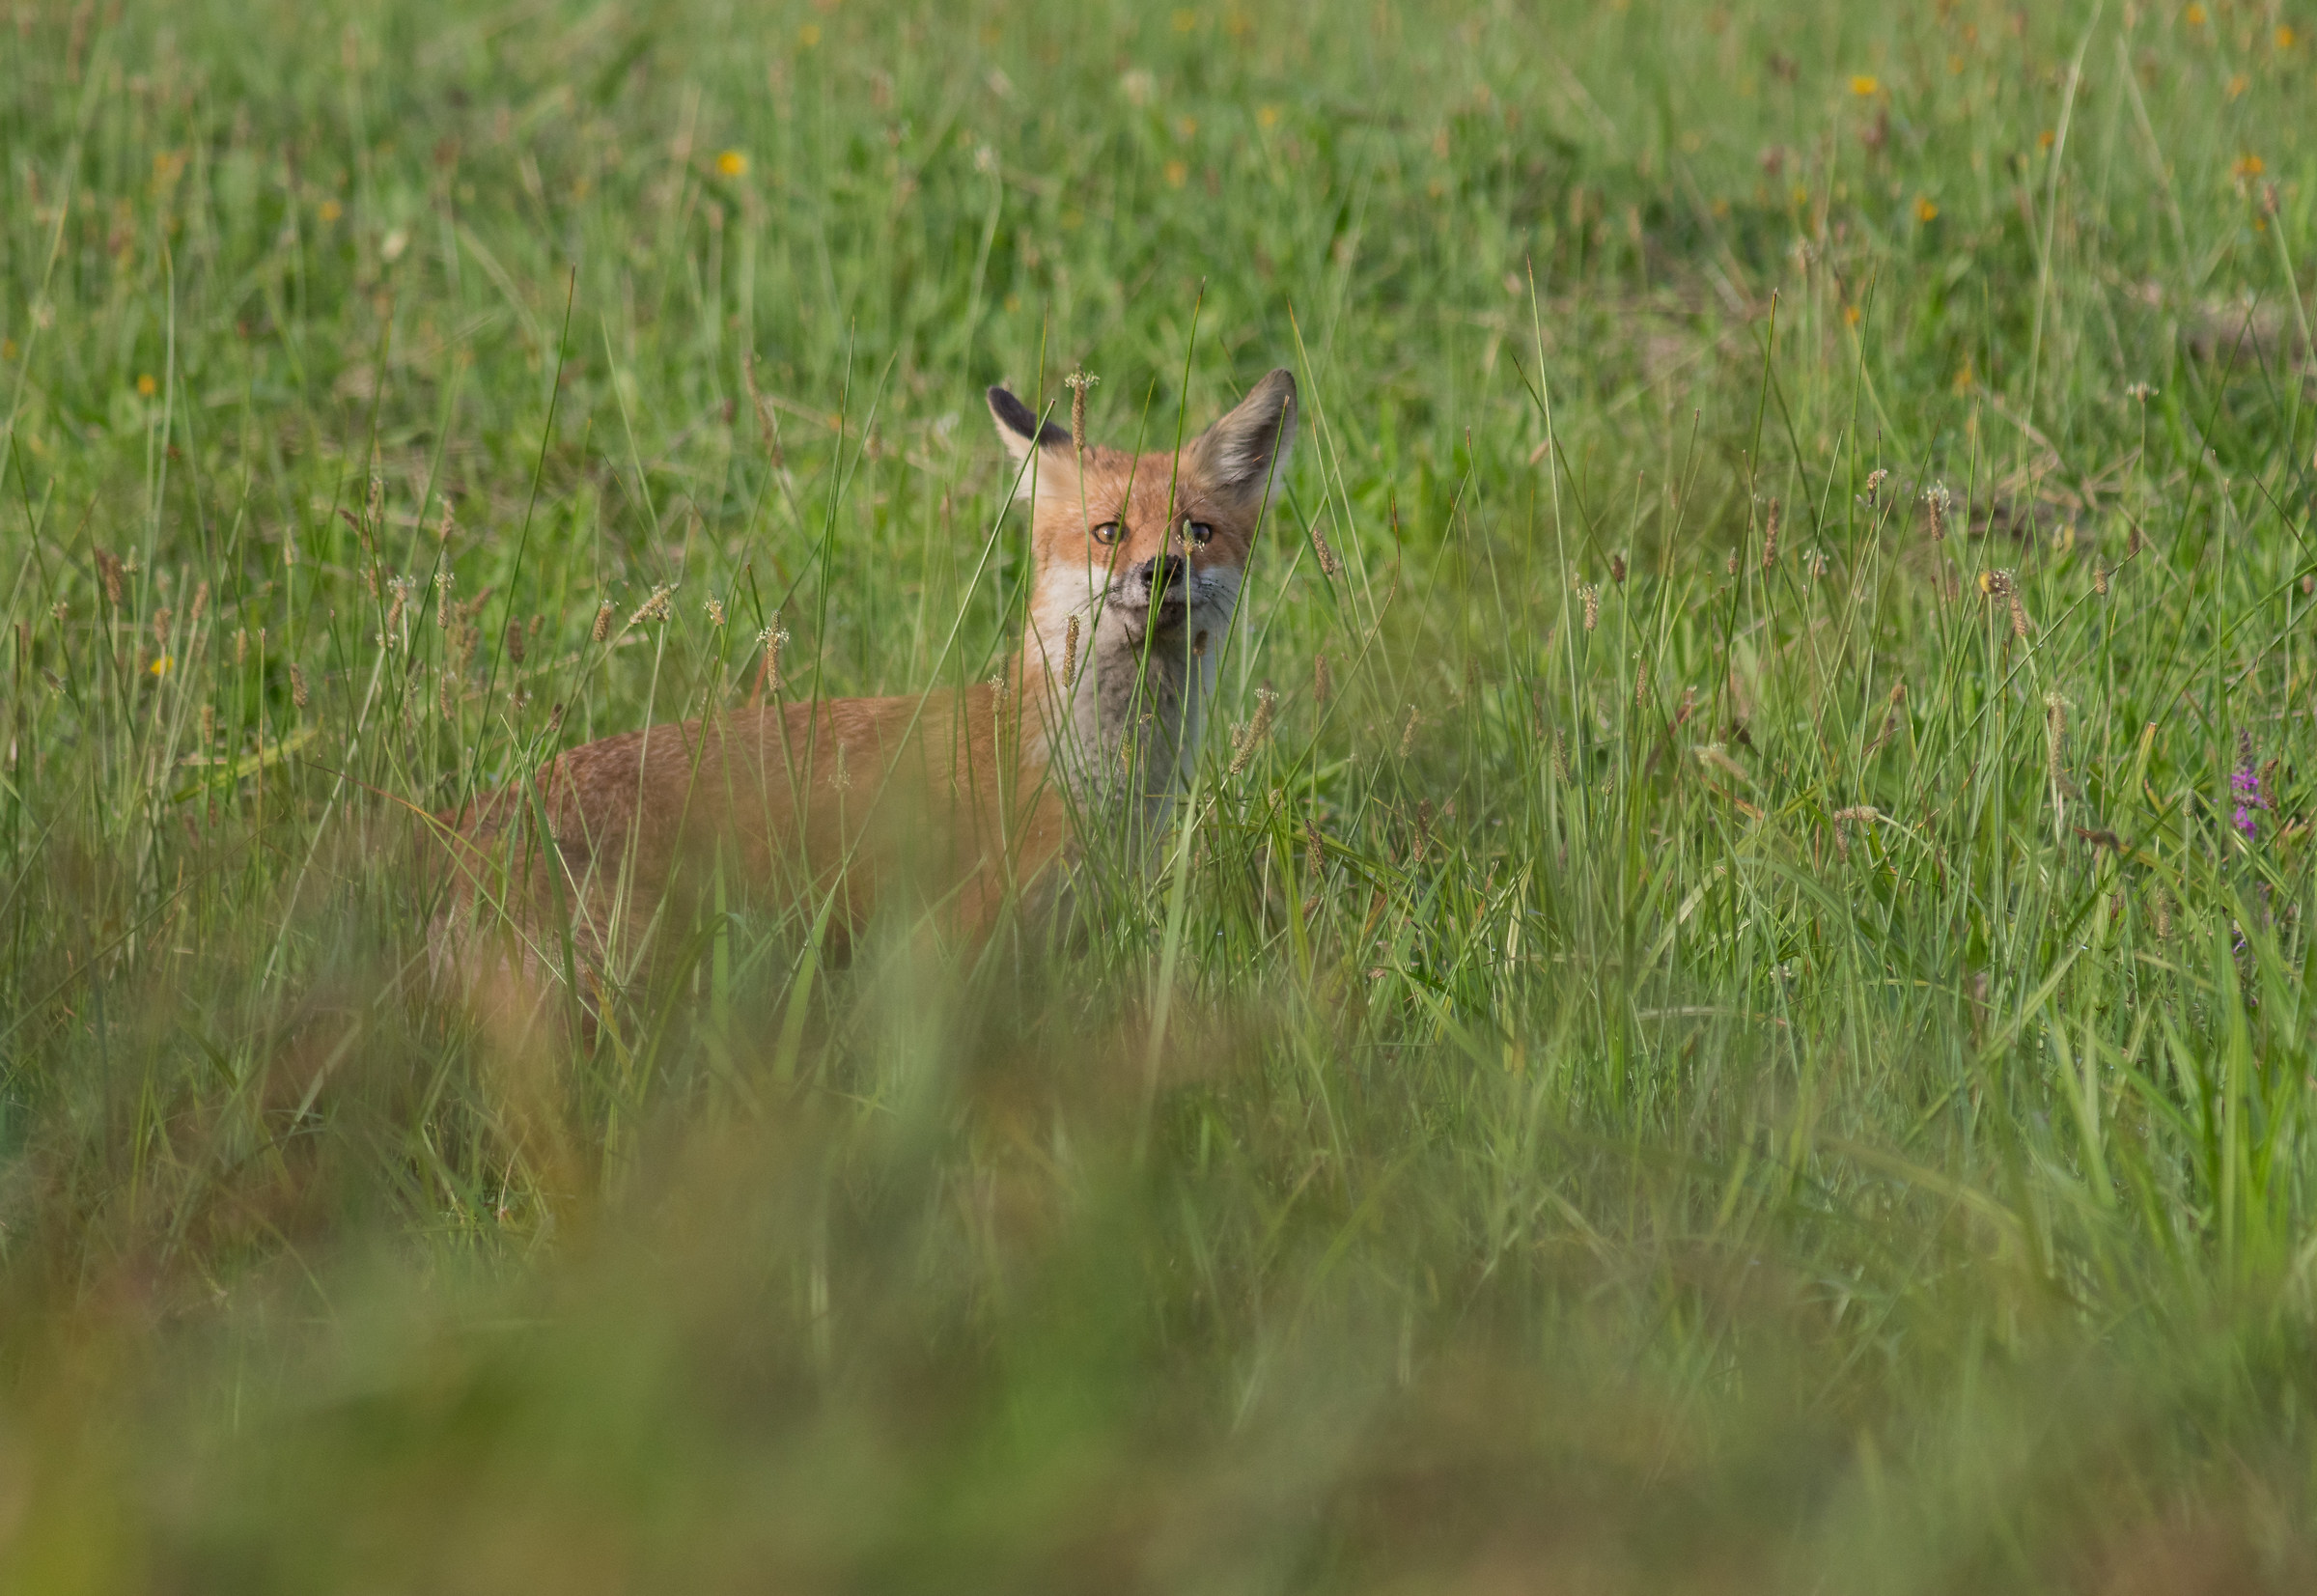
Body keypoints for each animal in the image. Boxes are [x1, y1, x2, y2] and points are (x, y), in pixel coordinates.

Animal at [429, 368, 1297, 989]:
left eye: (1198, 530)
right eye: (1109, 532)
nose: (1162, 570)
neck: (1077, 771)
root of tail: (461, 830)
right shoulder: (952, 949)